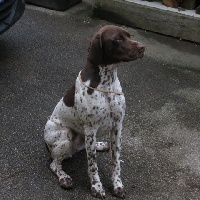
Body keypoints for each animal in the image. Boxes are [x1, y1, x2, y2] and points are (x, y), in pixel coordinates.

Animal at [43, 25, 145, 198]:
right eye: (118, 39)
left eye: (129, 35)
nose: (143, 47)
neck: (107, 83)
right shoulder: (91, 129)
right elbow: (92, 164)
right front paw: (96, 187)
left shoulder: (117, 127)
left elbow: (115, 161)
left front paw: (117, 185)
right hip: (66, 136)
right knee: (54, 162)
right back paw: (64, 178)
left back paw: (102, 145)